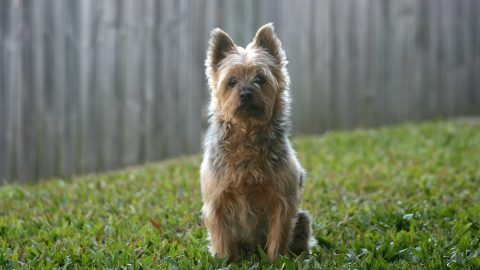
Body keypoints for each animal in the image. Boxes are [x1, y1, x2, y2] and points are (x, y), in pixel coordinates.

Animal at [201, 23, 314, 262]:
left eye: (260, 79)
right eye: (232, 82)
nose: (245, 93)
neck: (247, 134)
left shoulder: (283, 201)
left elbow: (279, 234)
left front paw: (275, 261)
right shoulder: (217, 202)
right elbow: (222, 237)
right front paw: (226, 261)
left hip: (302, 219)